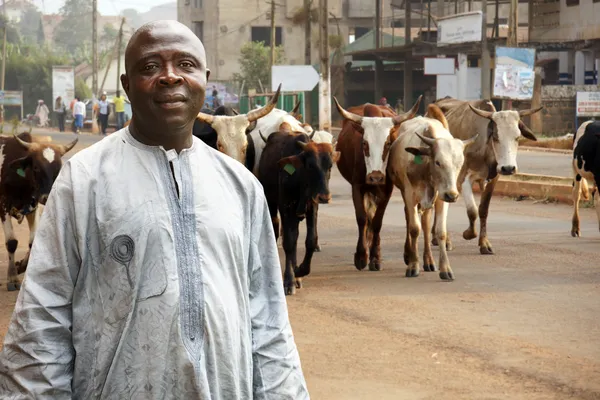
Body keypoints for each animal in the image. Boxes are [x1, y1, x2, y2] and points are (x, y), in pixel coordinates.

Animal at [0, 131, 78, 290]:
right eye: (36, 167)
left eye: (58, 168)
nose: (47, 196)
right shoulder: (3, 206)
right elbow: (11, 242)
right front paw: (12, 277)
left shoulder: (32, 207)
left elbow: (33, 241)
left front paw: (22, 266)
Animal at [332, 96, 422, 272]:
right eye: (364, 143)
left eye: (387, 143)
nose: (375, 177)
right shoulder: (357, 186)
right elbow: (362, 218)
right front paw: (361, 256)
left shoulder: (387, 189)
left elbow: (378, 222)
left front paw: (375, 257)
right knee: (369, 216)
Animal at [384, 103, 478, 282]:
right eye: (438, 162)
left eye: (459, 163)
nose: (453, 195)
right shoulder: (410, 195)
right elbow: (414, 228)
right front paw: (413, 266)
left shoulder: (442, 198)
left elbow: (440, 232)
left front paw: (445, 269)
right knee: (411, 220)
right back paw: (409, 255)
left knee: (427, 225)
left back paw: (428, 260)